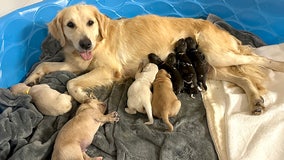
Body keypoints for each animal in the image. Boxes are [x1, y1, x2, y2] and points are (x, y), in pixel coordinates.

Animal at [24, 4, 284, 114]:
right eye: (70, 25)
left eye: (90, 23)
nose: (85, 43)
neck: (98, 41)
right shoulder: (74, 62)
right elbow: (45, 64)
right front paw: (30, 79)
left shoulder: (108, 70)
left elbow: (70, 83)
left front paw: (82, 96)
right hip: (211, 66)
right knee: (243, 78)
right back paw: (255, 100)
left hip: (218, 55)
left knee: (256, 59)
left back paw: (278, 65)